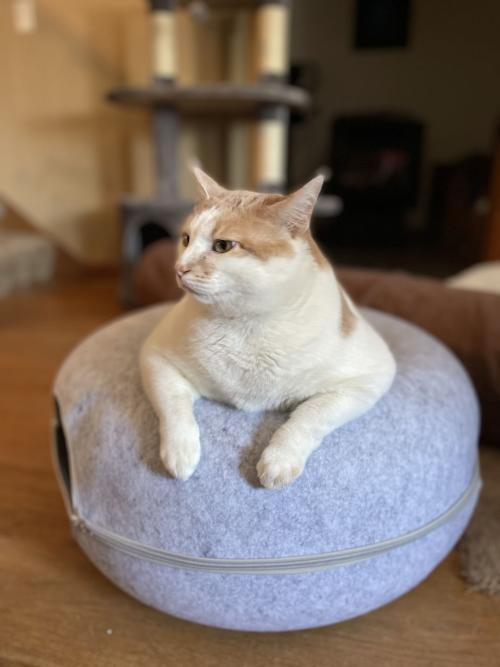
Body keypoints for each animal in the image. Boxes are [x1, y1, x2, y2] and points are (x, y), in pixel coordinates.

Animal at [140, 167, 396, 489]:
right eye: (186, 239)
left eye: (223, 246)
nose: (179, 268)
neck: (246, 325)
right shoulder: (155, 356)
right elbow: (173, 405)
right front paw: (181, 453)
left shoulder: (369, 379)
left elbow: (310, 415)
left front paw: (279, 460)